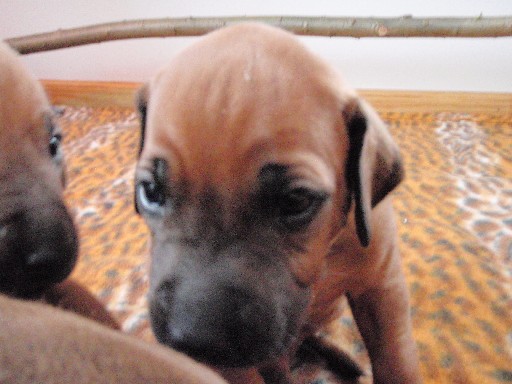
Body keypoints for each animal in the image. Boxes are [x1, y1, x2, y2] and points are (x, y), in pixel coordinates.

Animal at [136, 21, 420, 384]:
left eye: (295, 200)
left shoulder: (383, 287)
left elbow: (396, 358)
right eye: (150, 191)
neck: (325, 256)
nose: (196, 343)